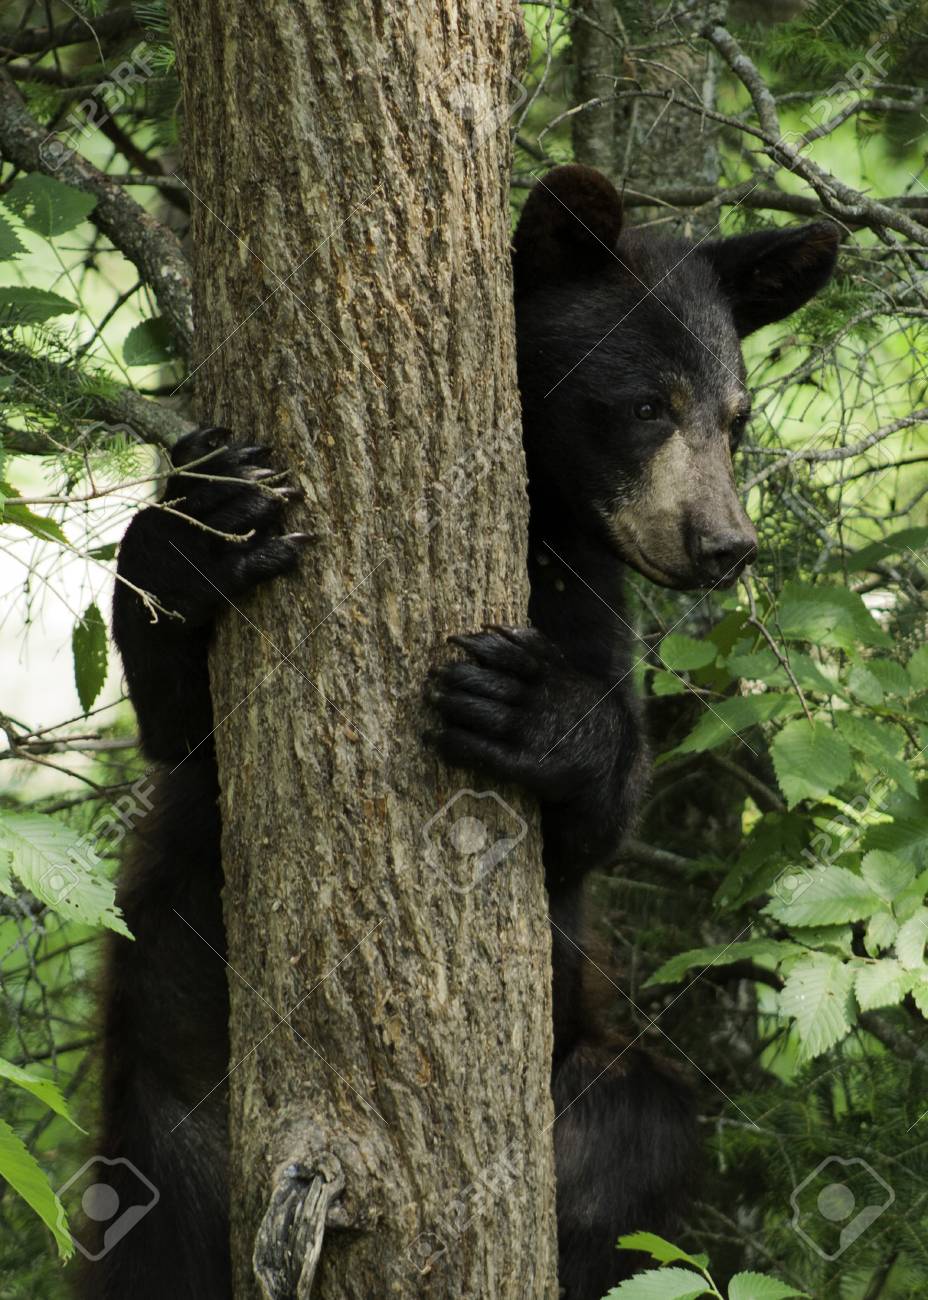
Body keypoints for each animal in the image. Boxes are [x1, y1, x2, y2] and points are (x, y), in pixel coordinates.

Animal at [81, 165, 837, 1300]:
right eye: (644, 406)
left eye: (735, 419)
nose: (725, 544)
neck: (535, 515)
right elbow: (180, 730)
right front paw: (202, 526)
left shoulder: (586, 588)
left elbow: (596, 820)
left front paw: (527, 706)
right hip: (161, 1108)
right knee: (152, 1241)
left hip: (584, 1061)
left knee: (635, 1130)